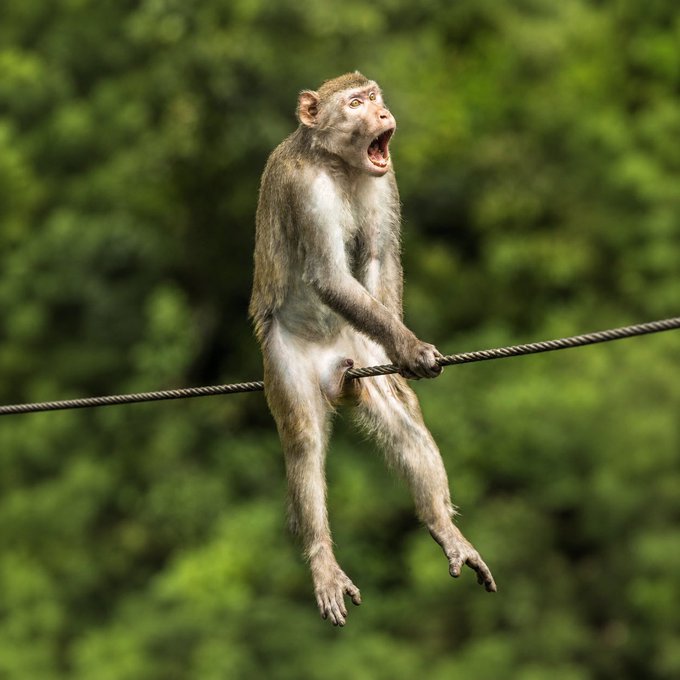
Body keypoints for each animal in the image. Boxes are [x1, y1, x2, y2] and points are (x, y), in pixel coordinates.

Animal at [249, 72, 496, 626]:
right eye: (356, 102)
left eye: (375, 97)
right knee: (303, 440)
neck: (338, 164)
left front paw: (401, 349)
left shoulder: (385, 179)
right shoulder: (305, 189)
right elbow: (329, 276)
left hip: (357, 352)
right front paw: (410, 346)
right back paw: (323, 560)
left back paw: (443, 527)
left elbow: (381, 257)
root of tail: (333, 368)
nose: (382, 115)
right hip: (285, 360)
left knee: (401, 420)